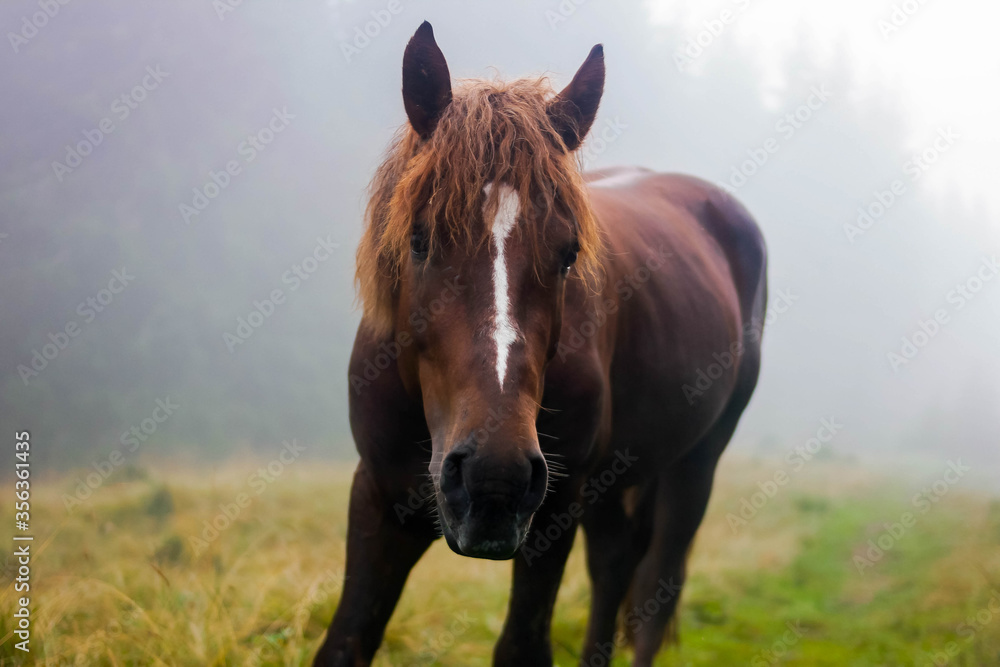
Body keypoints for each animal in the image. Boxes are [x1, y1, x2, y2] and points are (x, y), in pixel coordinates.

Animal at [315, 21, 767, 667]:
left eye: (568, 254)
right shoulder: (377, 496)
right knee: (613, 567)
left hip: (695, 462)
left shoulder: (555, 508)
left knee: (655, 589)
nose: (493, 479)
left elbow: (523, 645)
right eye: (420, 240)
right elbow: (345, 643)